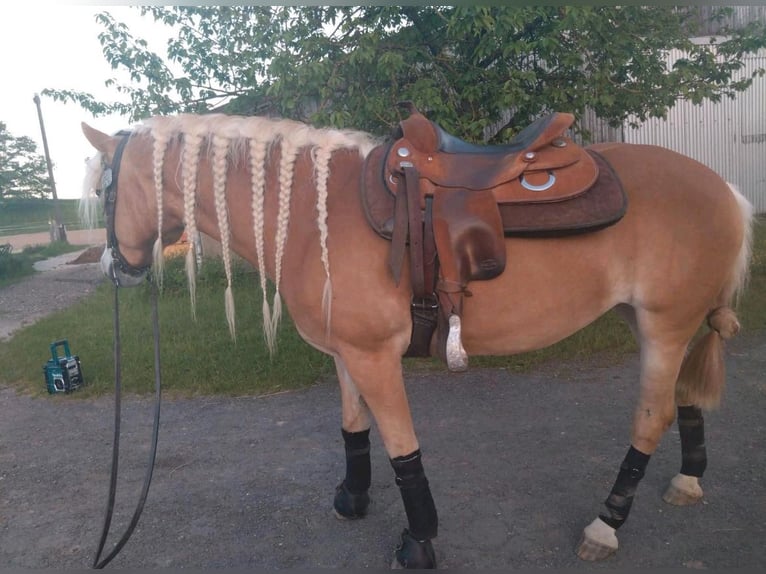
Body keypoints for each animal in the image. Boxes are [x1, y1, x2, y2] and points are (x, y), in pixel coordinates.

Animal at [81, 109, 752, 572]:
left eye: (102, 192)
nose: (114, 269)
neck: (317, 219)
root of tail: (727, 190)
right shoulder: (346, 354)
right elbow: (353, 428)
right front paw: (352, 498)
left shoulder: (376, 356)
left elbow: (402, 448)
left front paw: (420, 540)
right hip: (653, 323)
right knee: (682, 399)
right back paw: (688, 479)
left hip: (664, 323)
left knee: (652, 415)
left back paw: (605, 525)